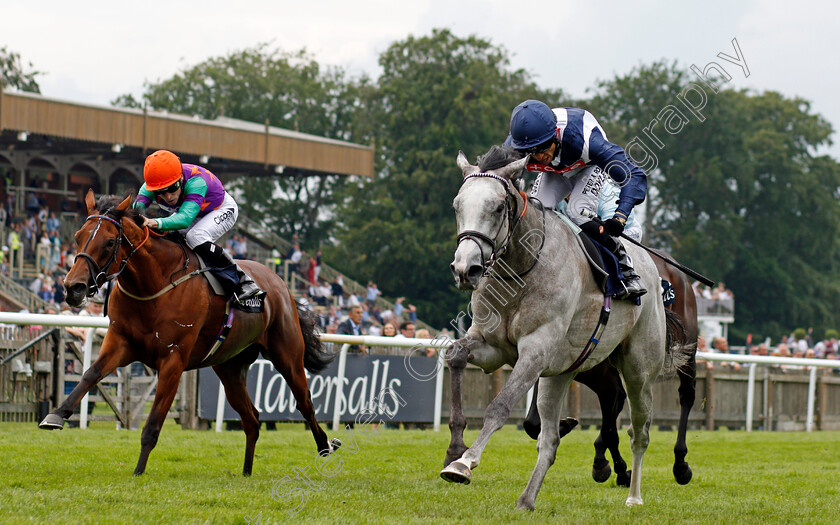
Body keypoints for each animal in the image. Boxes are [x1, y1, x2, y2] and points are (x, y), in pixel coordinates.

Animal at [37, 191, 336, 474]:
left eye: (110, 242)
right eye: (78, 237)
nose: (72, 287)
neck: (153, 283)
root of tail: (281, 284)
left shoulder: (173, 360)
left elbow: (153, 424)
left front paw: (138, 472)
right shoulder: (120, 342)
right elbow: (90, 374)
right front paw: (56, 415)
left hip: (287, 356)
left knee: (305, 403)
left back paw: (325, 446)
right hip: (229, 368)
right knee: (251, 419)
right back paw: (247, 472)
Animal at [524, 249, 696, 484]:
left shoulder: (606, 381)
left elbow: (610, 428)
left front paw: (614, 467)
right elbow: (532, 423)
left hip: (687, 347)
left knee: (687, 395)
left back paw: (680, 464)